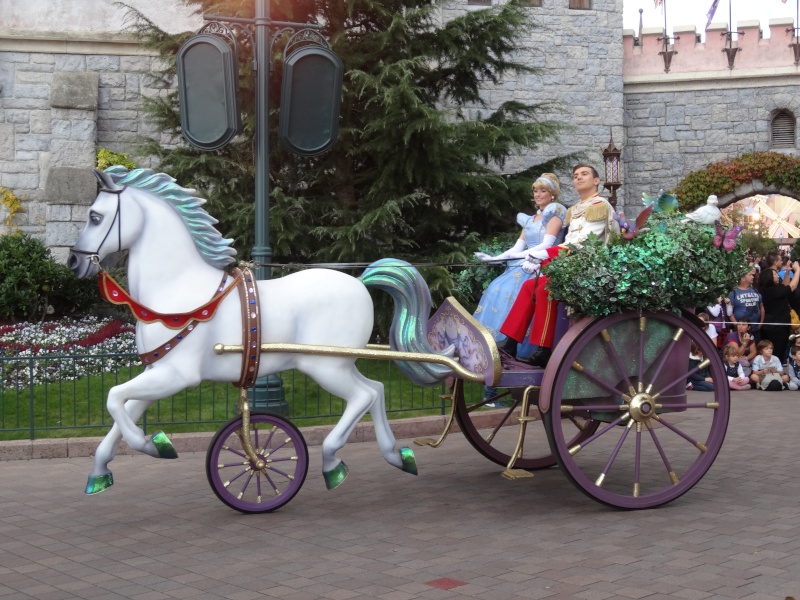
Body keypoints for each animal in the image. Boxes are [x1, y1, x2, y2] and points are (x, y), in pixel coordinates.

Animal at [69, 166, 454, 494]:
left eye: (95, 216)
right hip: (339, 364)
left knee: (364, 396)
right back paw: (397, 457)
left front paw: (155, 445)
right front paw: (100, 473)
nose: (74, 261)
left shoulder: (177, 375)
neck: (177, 294)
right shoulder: (157, 371)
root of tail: (360, 282)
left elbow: (114, 398)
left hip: (325, 366)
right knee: (376, 390)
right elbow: (124, 409)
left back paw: (333, 464)